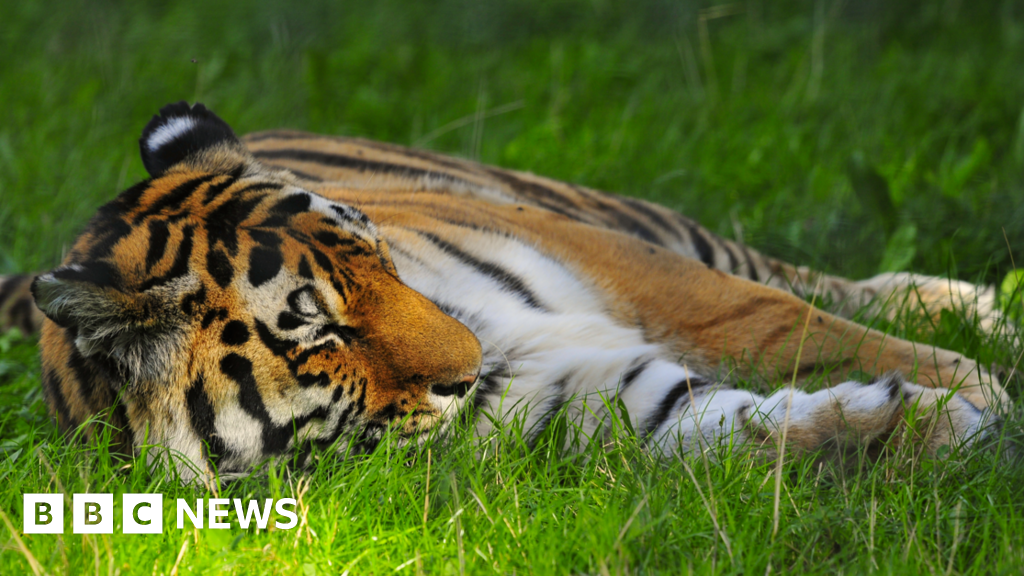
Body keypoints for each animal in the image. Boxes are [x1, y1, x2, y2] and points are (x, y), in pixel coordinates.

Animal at [0, 101, 1011, 481]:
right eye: (318, 333)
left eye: (382, 262)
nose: (471, 364)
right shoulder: (598, 401)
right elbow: (739, 427)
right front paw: (936, 421)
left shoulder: (621, 263)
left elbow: (771, 321)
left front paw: (970, 387)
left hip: (618, 215)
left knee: (795, 276)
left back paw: (980, 309)